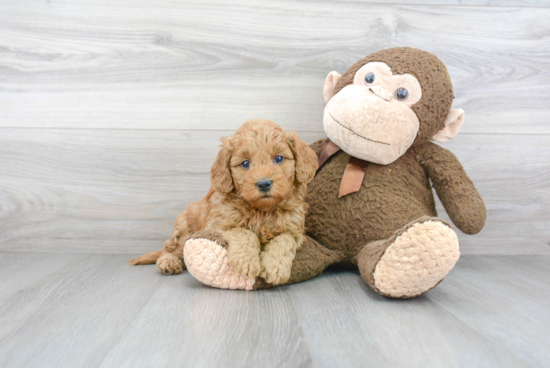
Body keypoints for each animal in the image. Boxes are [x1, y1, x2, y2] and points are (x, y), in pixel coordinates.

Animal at [129, 119, 316, 286]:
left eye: (278, 159)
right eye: (245, 163)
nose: (264, 183)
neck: (262, 211)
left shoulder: (295, 230)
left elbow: (284, 239)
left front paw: (276, 268)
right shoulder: (218, 225)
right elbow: (242, 231)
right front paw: (246, 262)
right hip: (184, 228)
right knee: (172, 249)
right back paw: (168, 262)